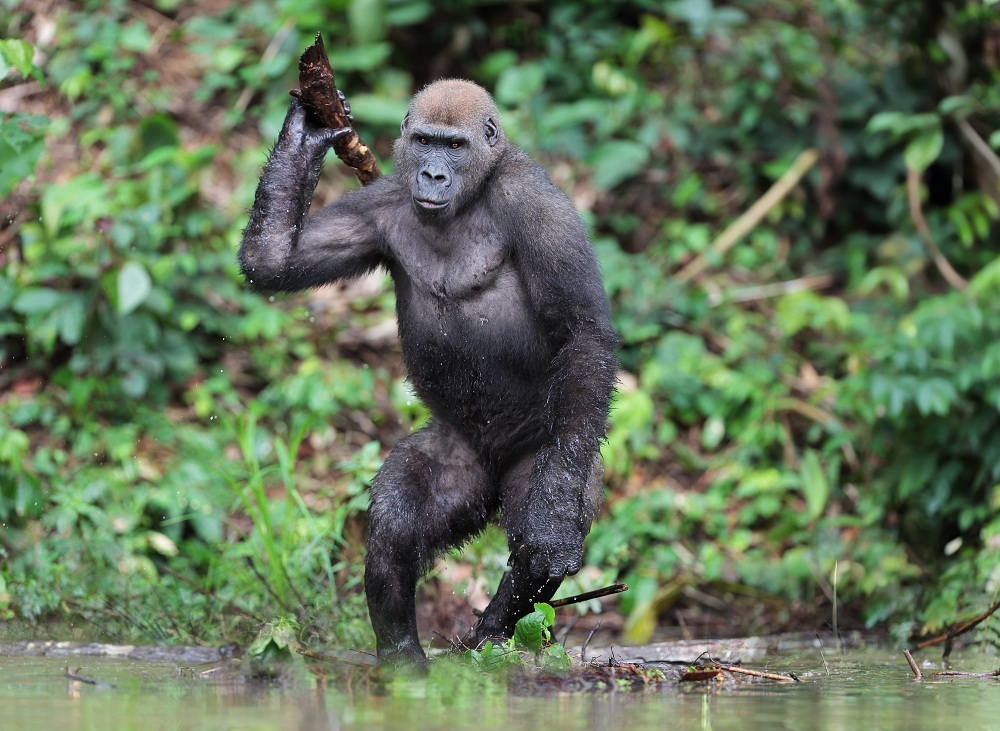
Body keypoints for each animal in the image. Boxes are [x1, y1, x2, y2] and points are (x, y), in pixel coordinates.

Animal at [239, 79, 618, 665]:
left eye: (455, 147)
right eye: (424, 141)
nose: (434, 174)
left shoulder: (536, 206)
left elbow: (583, 334)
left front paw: (553, 517)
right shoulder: (378, 203)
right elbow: (272, 263)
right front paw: (306, 131)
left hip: (548, 449)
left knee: (535, 532)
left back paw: (495, 628)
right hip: (461, 465)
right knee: (396, 524)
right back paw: (403, 654)